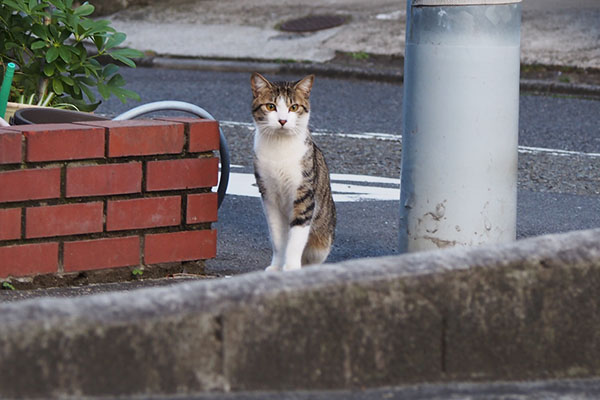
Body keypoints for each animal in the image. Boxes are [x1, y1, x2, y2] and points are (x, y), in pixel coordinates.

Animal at [250, 72, 338, 272]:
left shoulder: (304, 195)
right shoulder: (269, 196)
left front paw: (290, 268)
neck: (280, 149)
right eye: (271, 106)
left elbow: (296, 238)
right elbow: (277, 238)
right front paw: (276, 266)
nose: (282, 121)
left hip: (322, 242)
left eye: (294, 107)